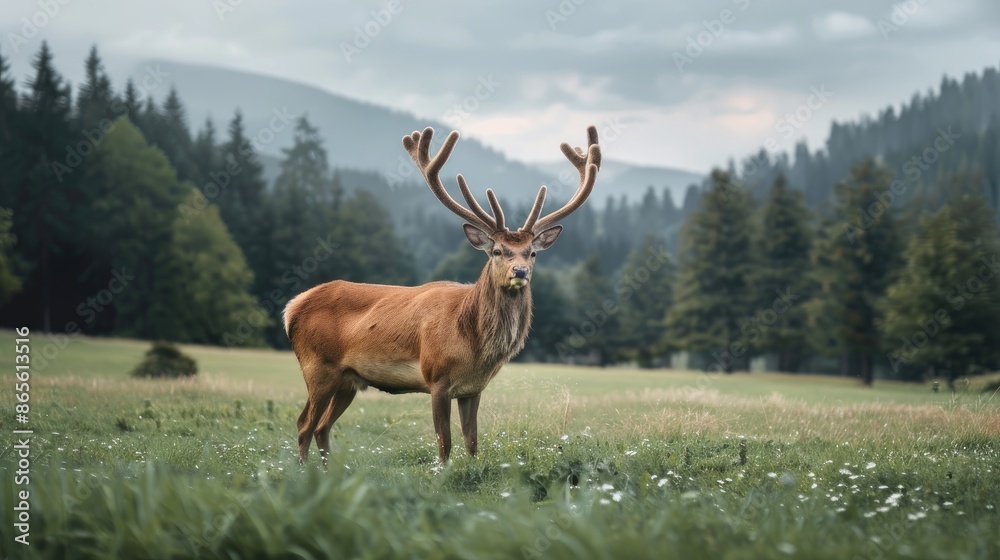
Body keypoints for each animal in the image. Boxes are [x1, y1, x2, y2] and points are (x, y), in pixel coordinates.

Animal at [284, 125, 601, 465]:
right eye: (497, 251)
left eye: (532, 253)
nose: (520, 272)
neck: (473, 342)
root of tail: (292, 307)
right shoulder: (436, 378)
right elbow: (444, 443)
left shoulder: (473, 389)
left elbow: (472, 442)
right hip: (317, 366)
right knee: (304, 424)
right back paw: (304, 471)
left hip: (348, 379)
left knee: (322, 426)